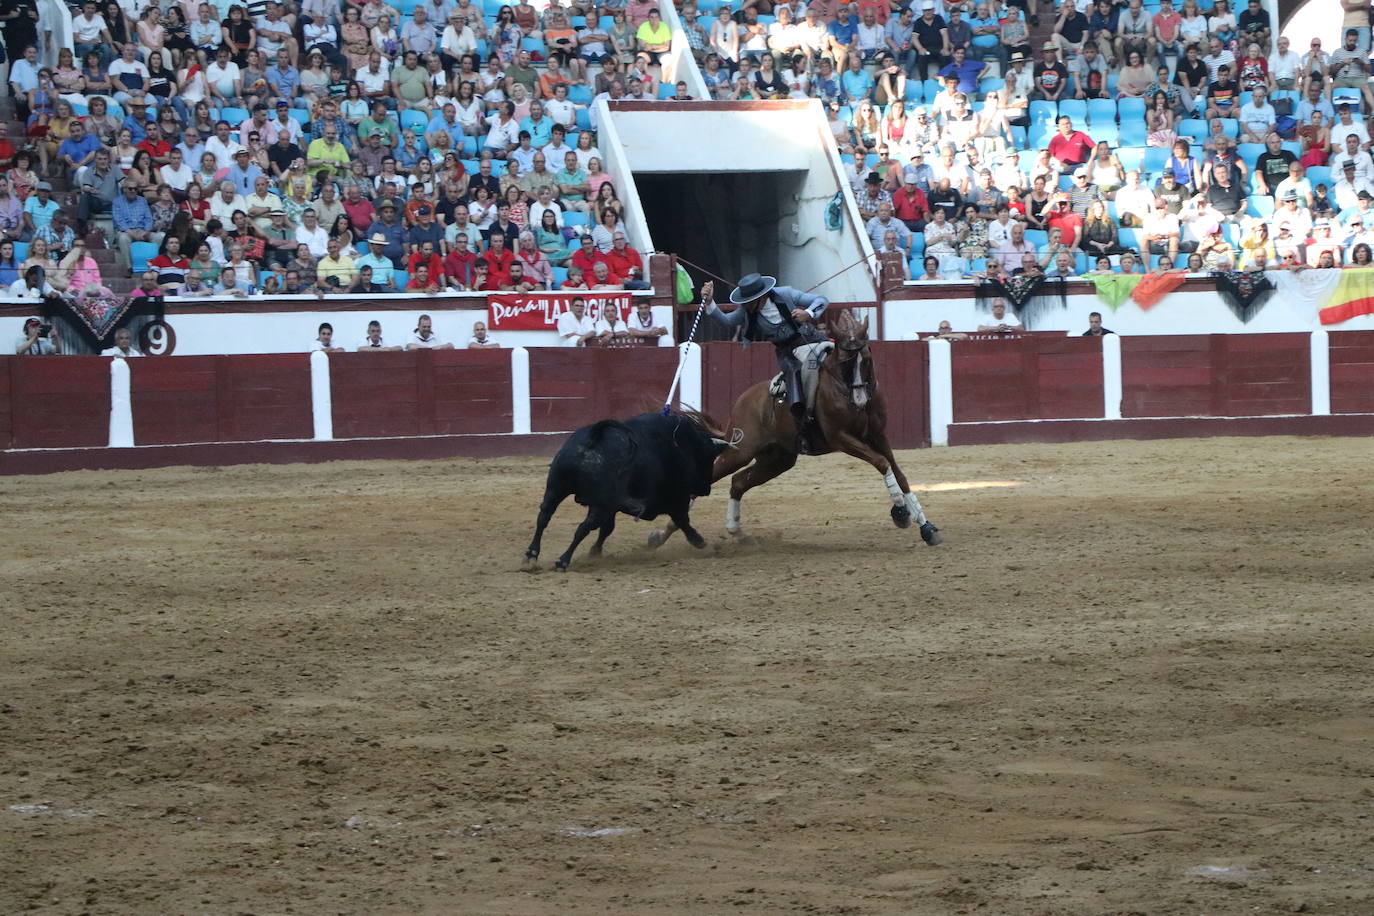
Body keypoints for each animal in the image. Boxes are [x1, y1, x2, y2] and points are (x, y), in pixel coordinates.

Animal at [519, 411, 730, 568]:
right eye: (709, 458)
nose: (706, 490)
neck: (683, 446)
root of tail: (593, 438)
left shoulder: (611, 507)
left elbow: (607, 529)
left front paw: (595, 552)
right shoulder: (676, 499)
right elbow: (683, 521)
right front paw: (701, 542)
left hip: (556, 488)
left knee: (544, 516)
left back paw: (531, 554)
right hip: (598, 504)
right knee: (583, 527)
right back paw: (563, 560)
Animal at [648, 307, 939, 549]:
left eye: (866, 359)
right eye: (845, 363)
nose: (859, 400)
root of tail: (743, 402)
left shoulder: (878, 436)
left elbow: (899, 474)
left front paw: (926, 527)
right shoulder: (842, 439)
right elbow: (881, 463)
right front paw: (900, 512)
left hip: (778, 458)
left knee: (738, 482)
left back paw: (737, 532)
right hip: (740, 451)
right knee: (711, 478)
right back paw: (664, 536)